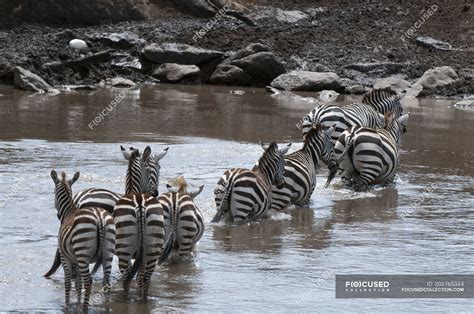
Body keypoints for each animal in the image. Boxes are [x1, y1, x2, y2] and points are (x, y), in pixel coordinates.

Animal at [50, 169, 115, 310]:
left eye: (53, 193)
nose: (57, 215)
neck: (68, 212)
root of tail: (100, 218)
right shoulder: (75, 259)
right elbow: (78, 284)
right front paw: (77, 303)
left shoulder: (65, 257)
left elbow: (68, 283)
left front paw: (68, 304)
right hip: (108, 253)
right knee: (106, 281)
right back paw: (106, 307)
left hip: (83, 253)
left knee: (88, 281)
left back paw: (85, 307)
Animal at [113, 146, 167, 298]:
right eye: (156, 168)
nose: (155, 193)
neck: (134, 191)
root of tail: (140, 202)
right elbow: (140, 278)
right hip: (152, 249)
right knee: (146, 279)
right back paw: (143, 299)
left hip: (123, 250)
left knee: (126, 279)